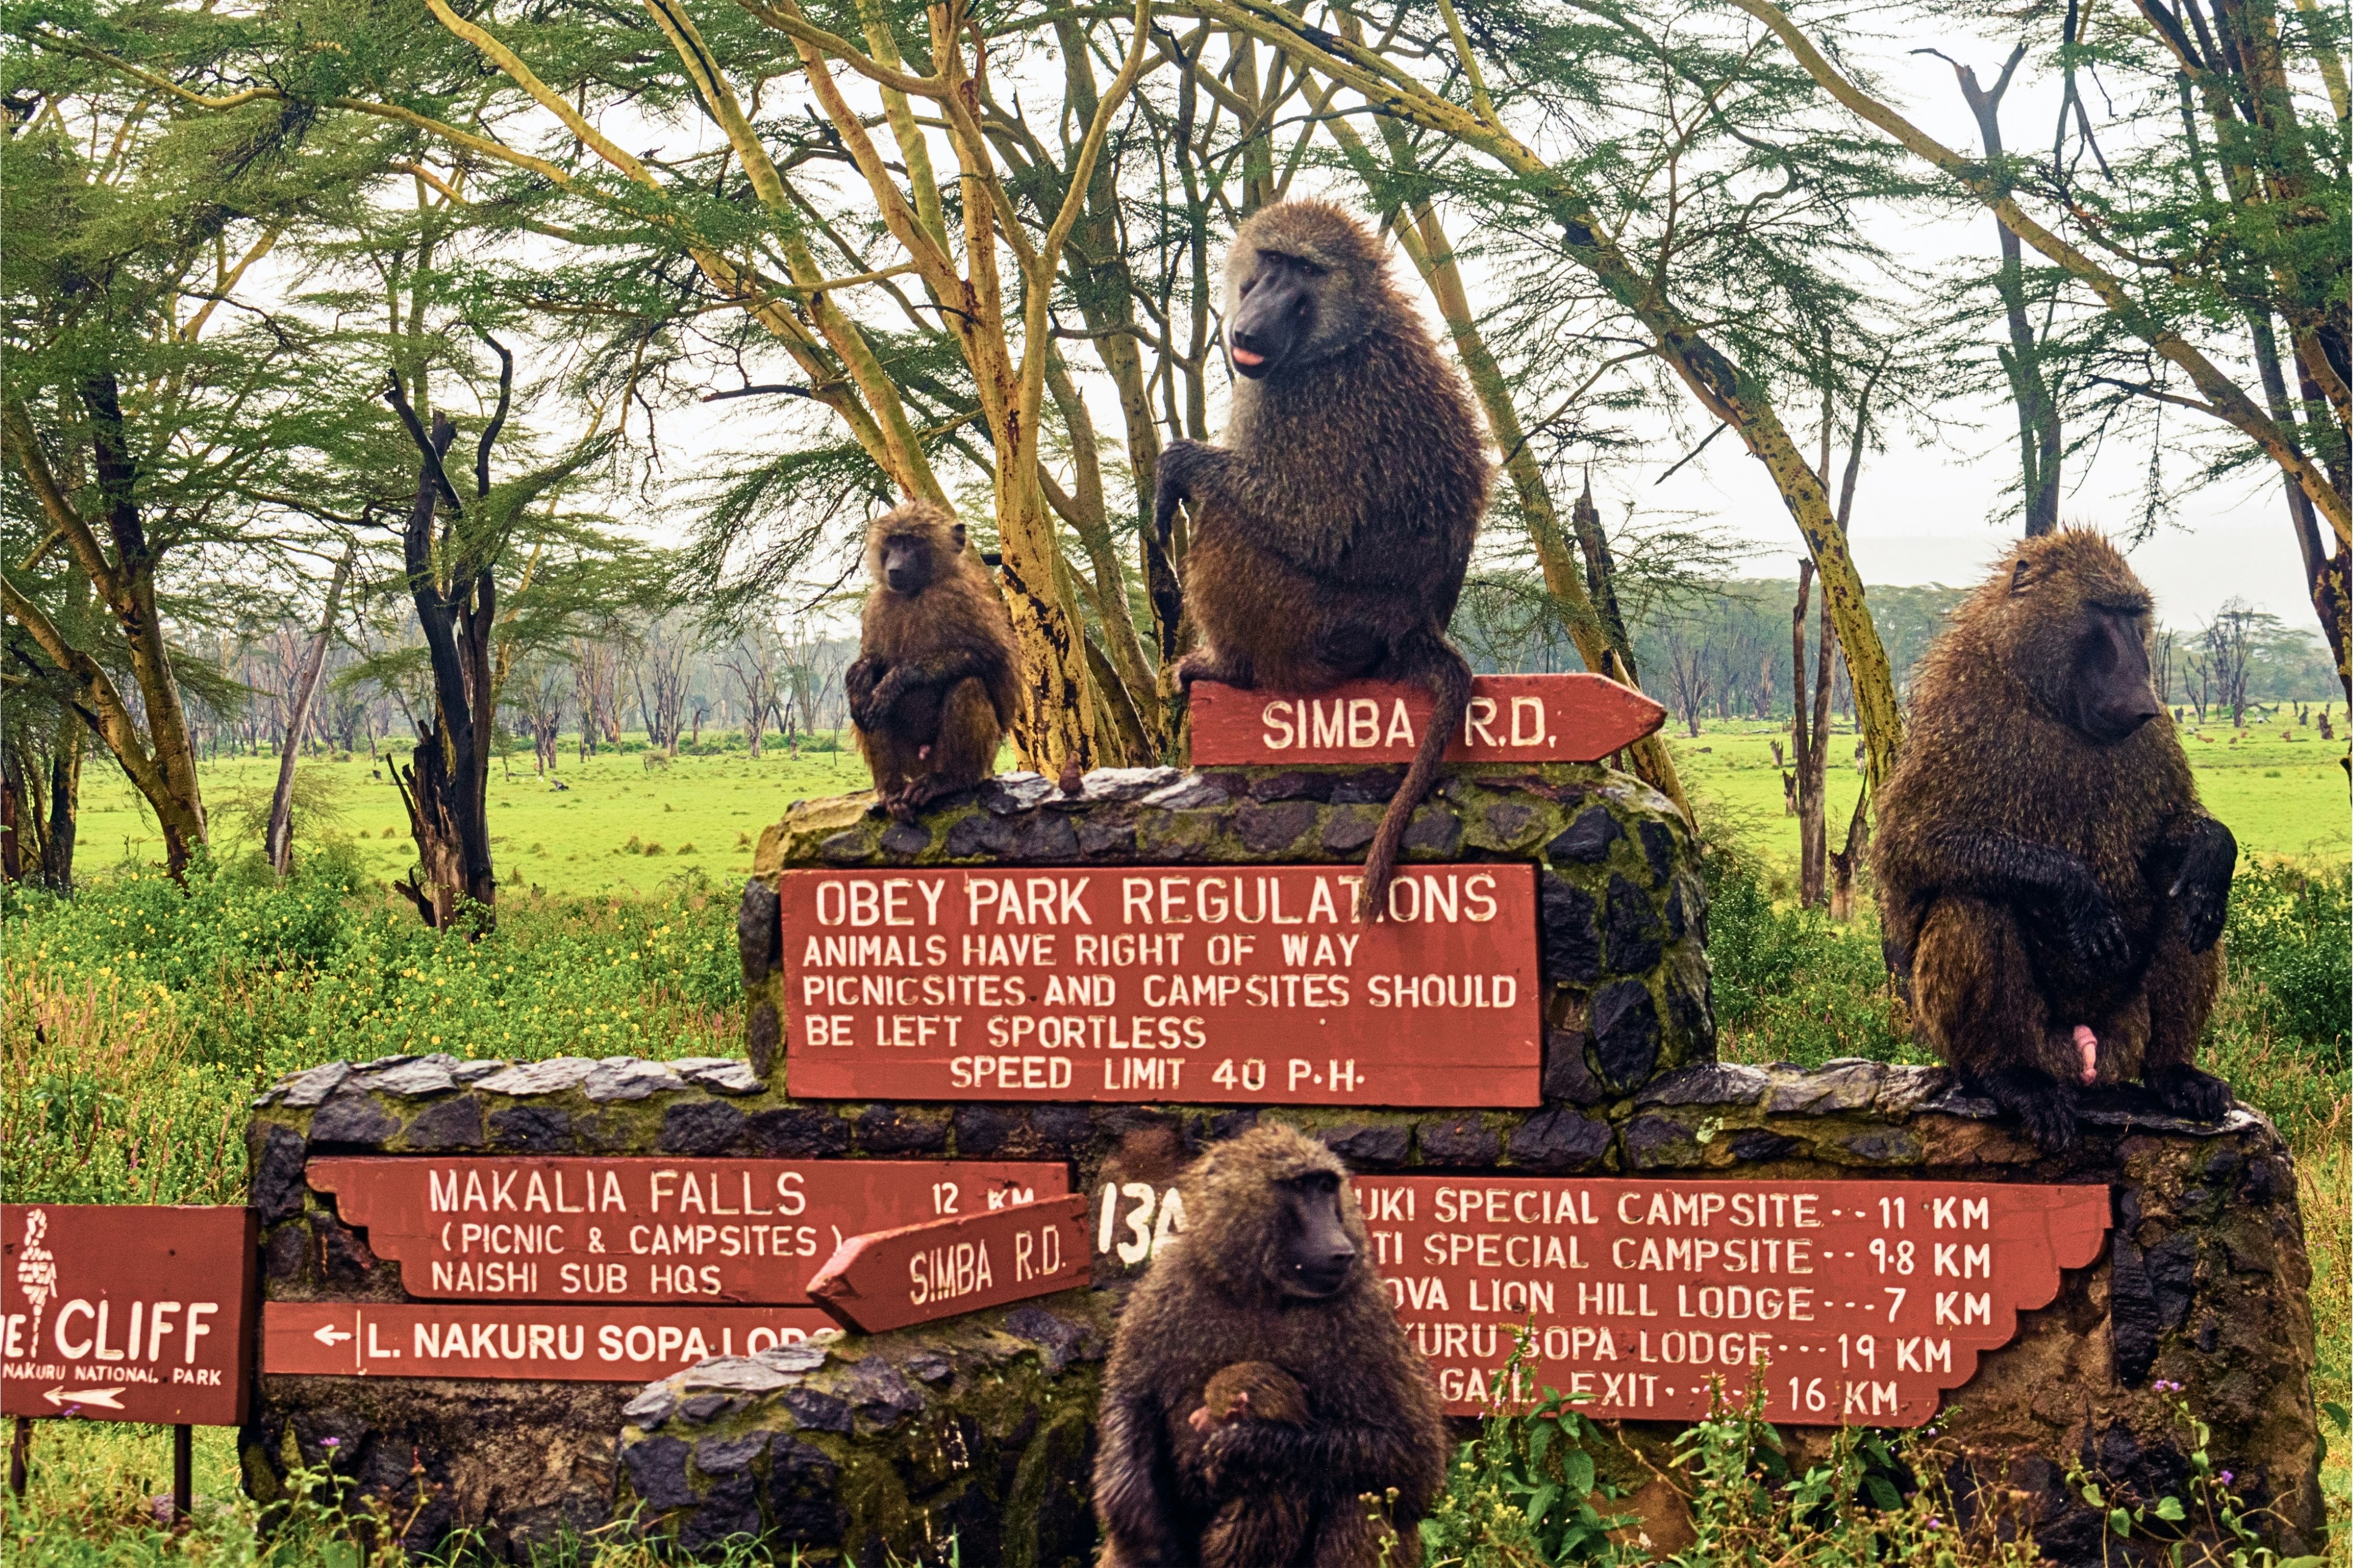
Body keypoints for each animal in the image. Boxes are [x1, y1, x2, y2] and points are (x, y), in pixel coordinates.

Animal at [844, 501, 1019, 823]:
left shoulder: (961, 598)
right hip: (910, 761)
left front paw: (897, 680)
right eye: (893, 541)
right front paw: (861, 673)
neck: (916, 593)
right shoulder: (876, 605)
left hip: (953, 758)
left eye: (912, 542)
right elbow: (869, 669)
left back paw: (950, 780)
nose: (894, 567)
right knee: (865, 705)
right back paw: (891, 792)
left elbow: (991, 660)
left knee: (968, 684)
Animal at [1153, 200, 1491, 918]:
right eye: (1272, 261)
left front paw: (1178, 467)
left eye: (1306, 272)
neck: (1347, 334)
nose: (1252, 320)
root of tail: (1414, 628)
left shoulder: (1303, 398)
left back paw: (1227, 667)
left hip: (1309, 630)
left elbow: (1317, 527)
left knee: (1226, 517)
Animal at [1872, 530, 2236, 1154]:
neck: (2050, 702)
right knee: (1973, 897)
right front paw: (2075, 891)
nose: (2143, 693)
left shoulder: (2156, 737)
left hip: (2123, 1032)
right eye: (2103, 612)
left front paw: (2214, 847)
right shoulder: (1960, 710)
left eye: (2133, 615)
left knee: (2188, 899)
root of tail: (2081, 1056)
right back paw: (2009, 1077)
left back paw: (2173, 1073)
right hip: (2028, 1036)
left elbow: (2169, 840)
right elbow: (1911, 844)